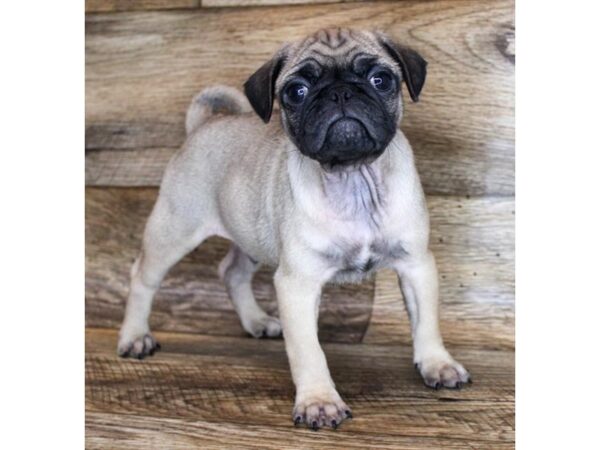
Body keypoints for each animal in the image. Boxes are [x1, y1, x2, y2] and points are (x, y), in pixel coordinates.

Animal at [118, 27, 468, 428]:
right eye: (296, 91)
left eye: (380, 80)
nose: (340, 92)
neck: (353, 177)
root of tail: (203, 125)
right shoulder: (297, 284)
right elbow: (308, 349)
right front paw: (319, 401)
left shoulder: (416, 265)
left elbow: (426, 323)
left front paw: (437, 364)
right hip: (175, 228)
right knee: (143, 277)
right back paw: (135, 337)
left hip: (249, 236)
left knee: (231, 272)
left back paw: (256, 321)